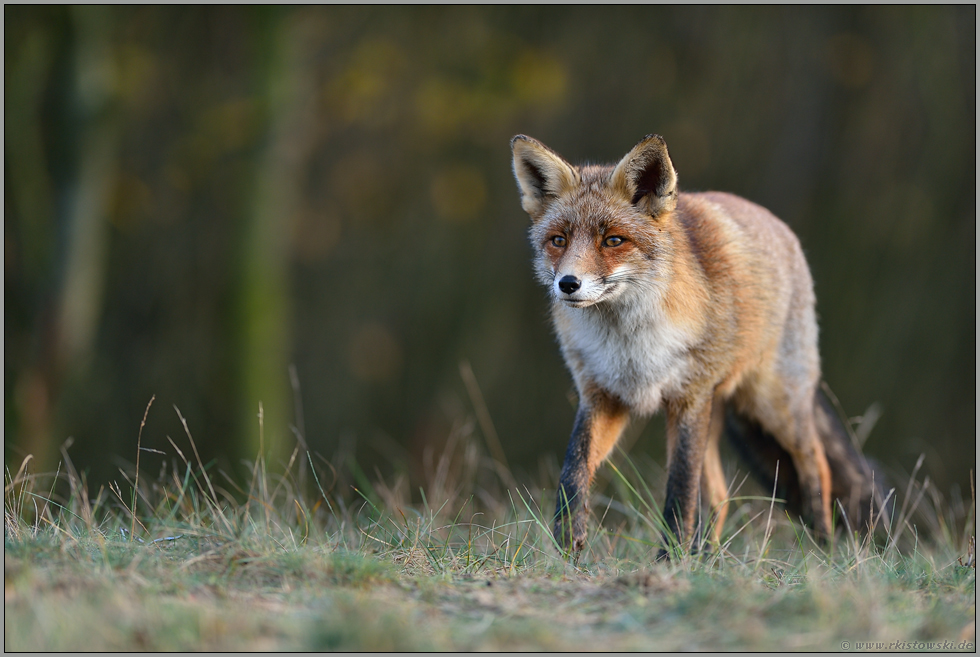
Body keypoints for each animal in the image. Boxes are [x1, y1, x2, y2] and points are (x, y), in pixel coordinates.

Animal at [510, 133, 884, 552]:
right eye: (558, 240)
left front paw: (669, 558)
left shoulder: (688, 398)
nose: (568, 284)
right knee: (720, 498)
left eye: (613, 240)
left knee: (815, 465)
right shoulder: (601, 395)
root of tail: (778, 225)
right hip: (721, 411)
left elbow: (680, 491)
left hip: (774, 405)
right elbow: (572, 473)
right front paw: (567, 551)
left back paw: (822, 546)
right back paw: (706, 557)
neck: (630, 347)